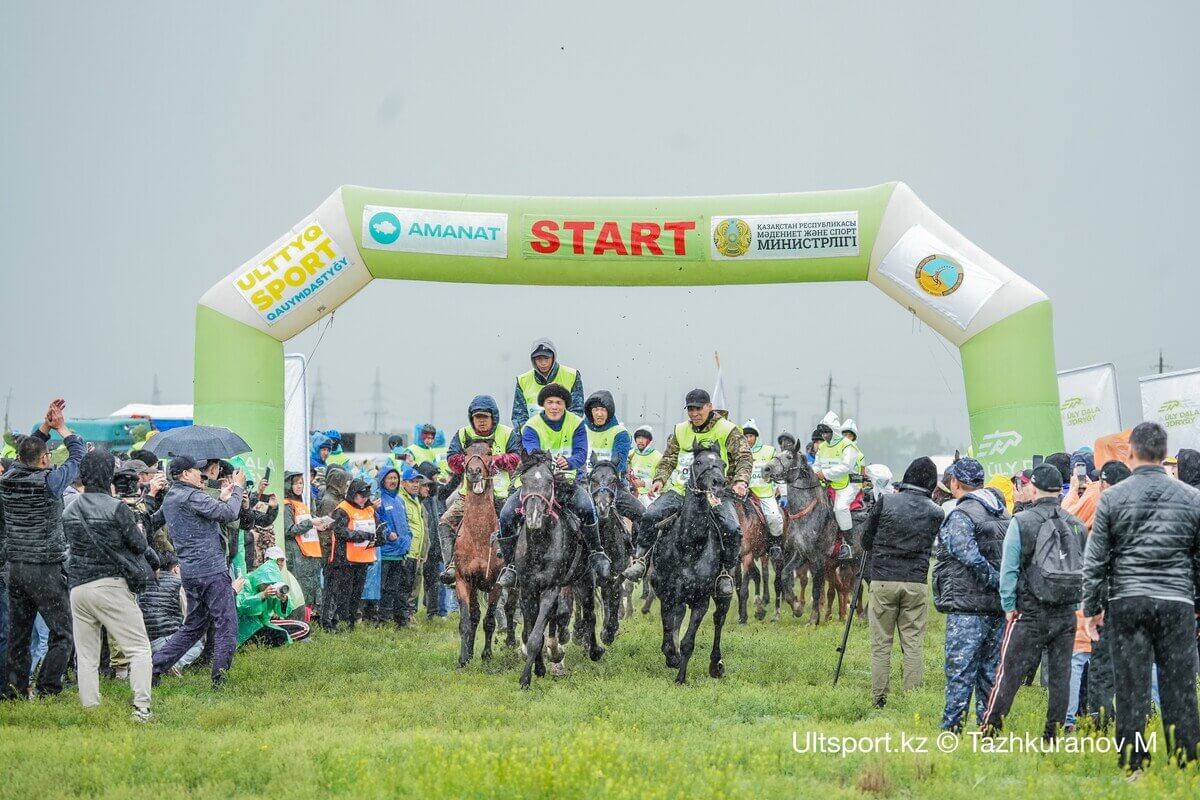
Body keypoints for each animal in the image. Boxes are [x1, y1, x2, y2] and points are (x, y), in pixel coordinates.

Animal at [511, 450, 604, 690]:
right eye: (524, 480)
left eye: (549, 481)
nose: (533, 517)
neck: (539, 545)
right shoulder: (528, 590)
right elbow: (531, 632)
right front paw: (539, 668)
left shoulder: (550, 589)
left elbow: (535, 637)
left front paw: (525, 679)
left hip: (584, 580)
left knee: (589, 614)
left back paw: (595, 650)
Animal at [585, 460, 633, 647]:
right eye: (594, 479)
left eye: (613, 480)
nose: (602, 507)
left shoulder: (616, 577)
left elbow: (614, 598)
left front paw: (608, 631)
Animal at [657, 448, 729, 686]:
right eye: (698, 462)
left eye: (722, 464)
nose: (718, 483)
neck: (689, 545)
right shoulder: (668, 595)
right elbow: (669, 629)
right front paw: (672, 656)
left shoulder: (700, 601)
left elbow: (688, 641)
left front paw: (680, 677)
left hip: (723, 595)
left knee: (719, 619)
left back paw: (716, 665)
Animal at [729, 494, 768, 623]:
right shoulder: (736, 560)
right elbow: (738, 588)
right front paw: (742, 616)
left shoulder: (747, 556)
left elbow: (744, 590)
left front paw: (743, 619)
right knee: (757, 575)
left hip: (764, 554)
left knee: (765, 574)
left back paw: (765, 601)